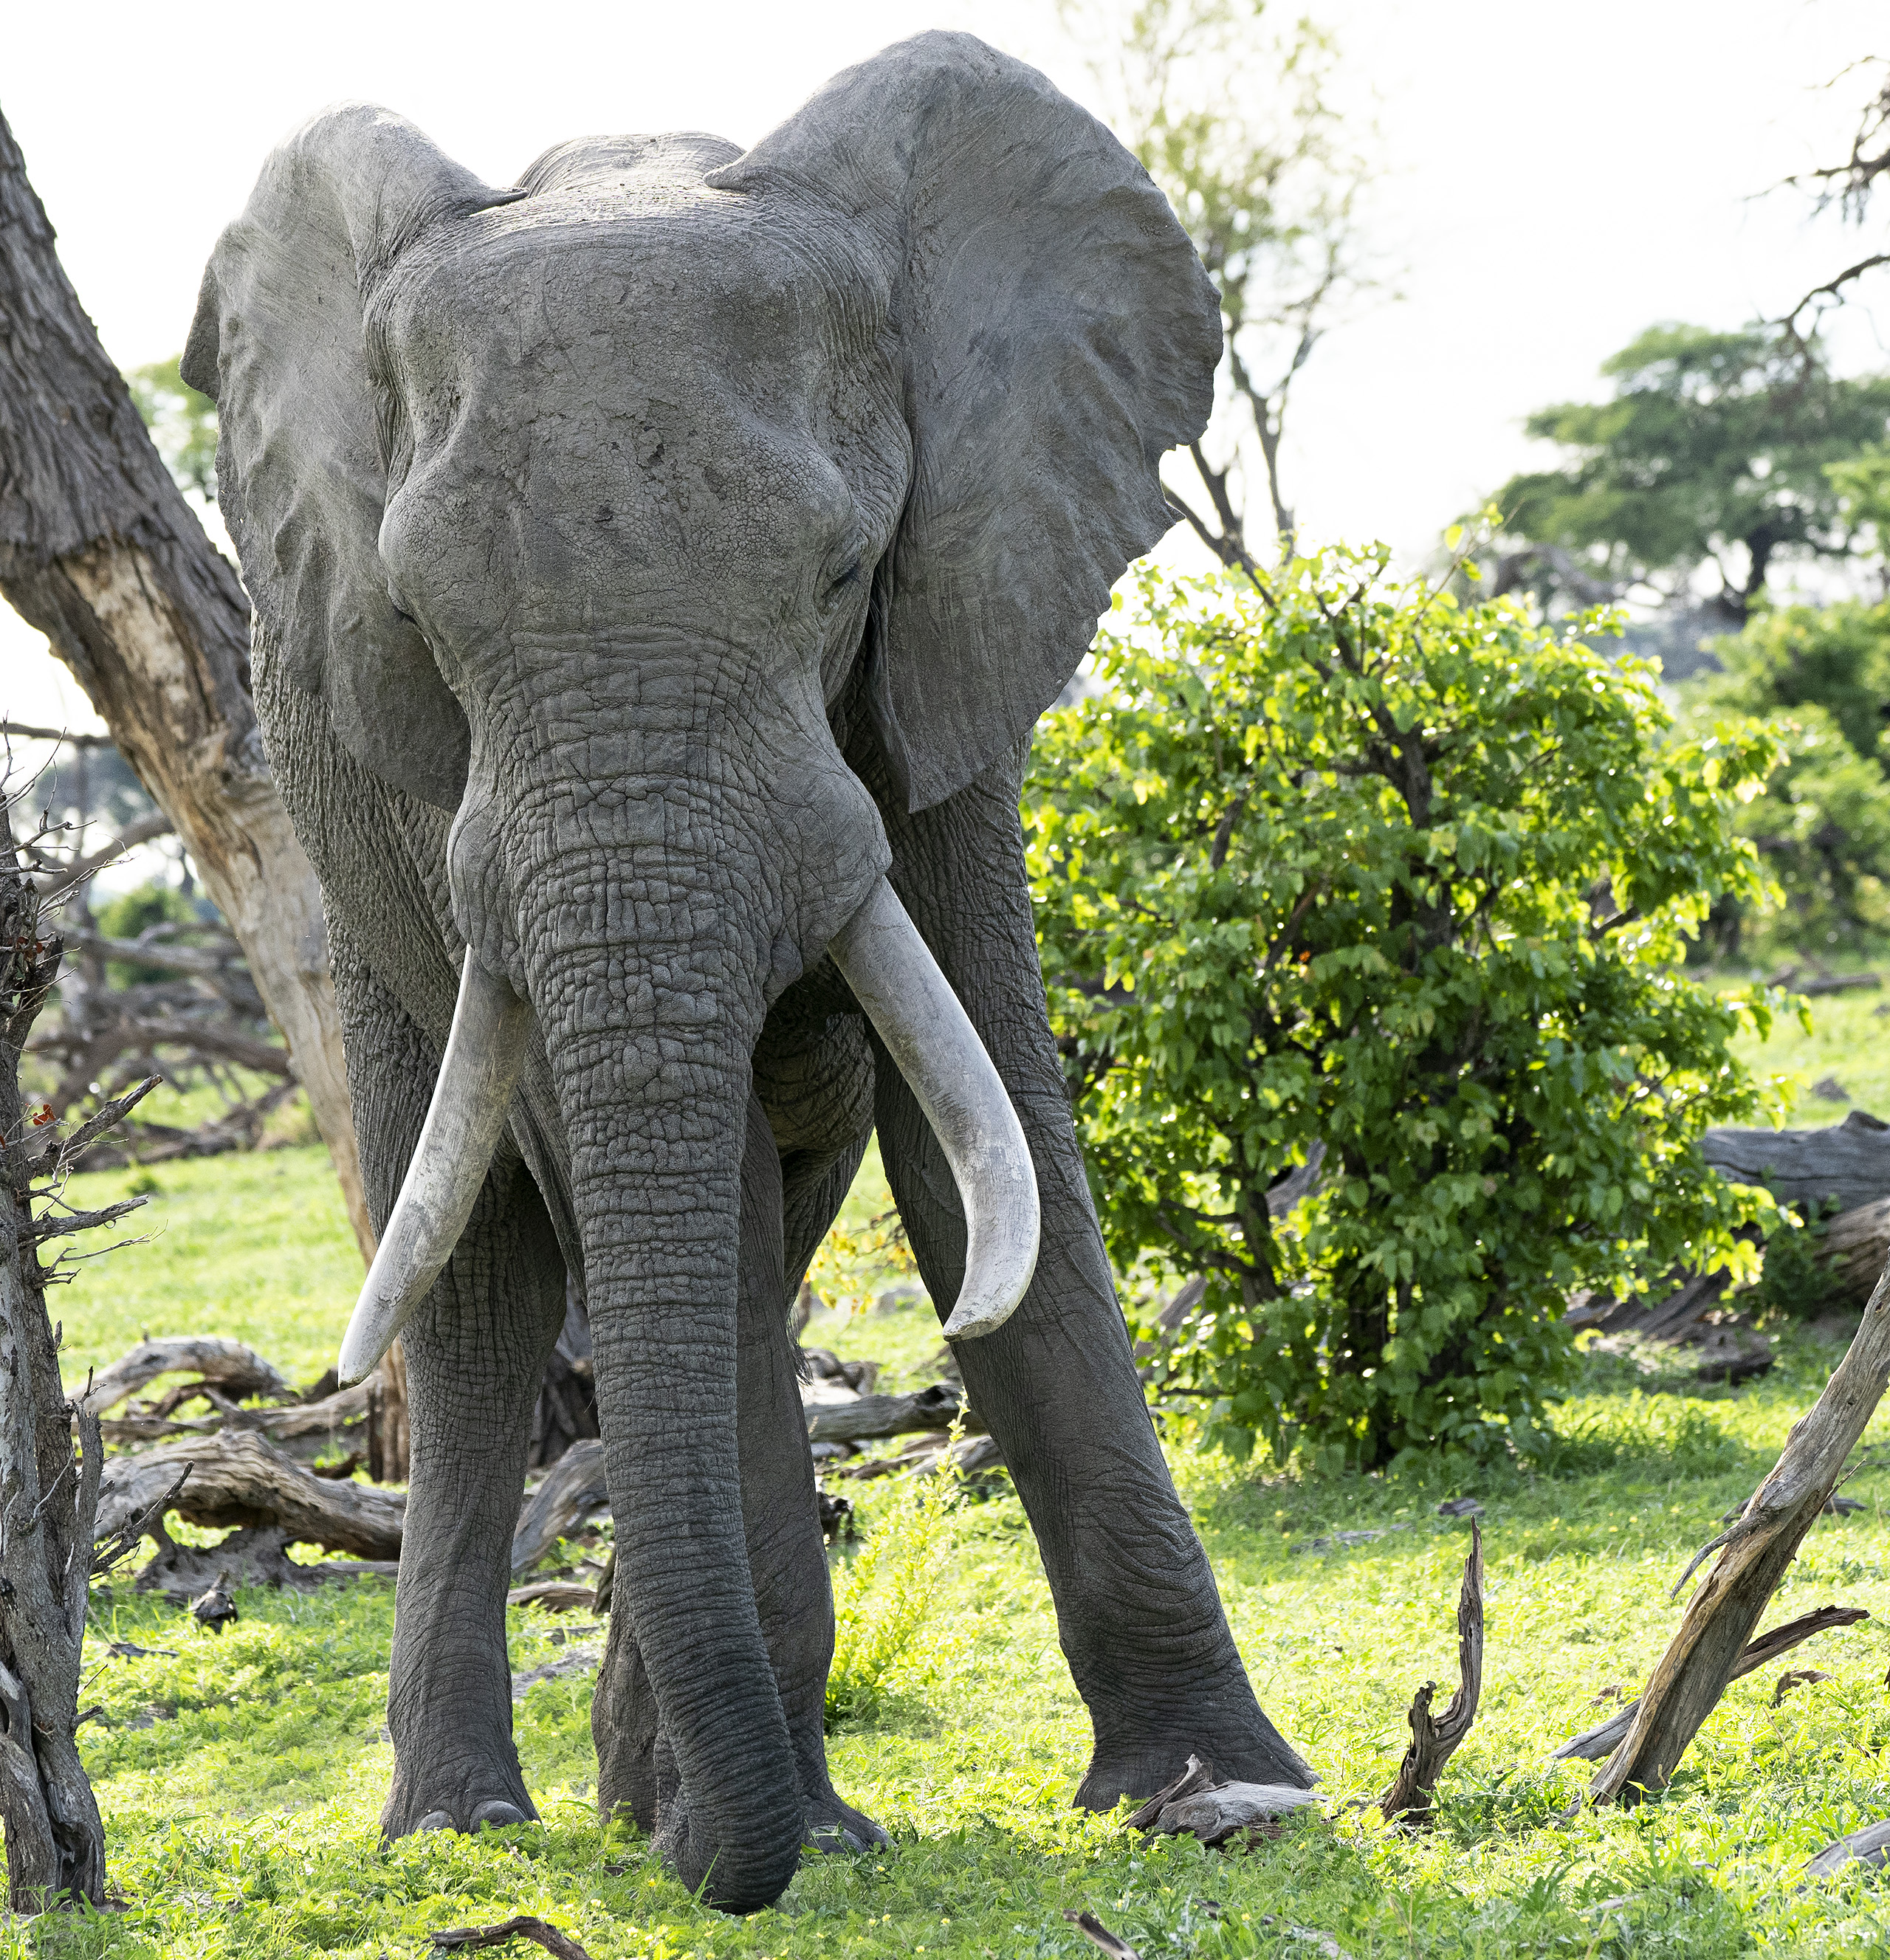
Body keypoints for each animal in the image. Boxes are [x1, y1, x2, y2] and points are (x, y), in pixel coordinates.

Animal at [182, 29, 1309, 1914]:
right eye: (419, 629)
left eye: (843, 574)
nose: (736, 1857)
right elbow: (678, 1203)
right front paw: (788, 1838)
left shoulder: (950, 659)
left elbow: (989, 1145)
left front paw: (1227, 1795)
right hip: (366, 903)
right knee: (482, 1301)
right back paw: (478, 1822)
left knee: (768, 1245)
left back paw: (660, 1797)